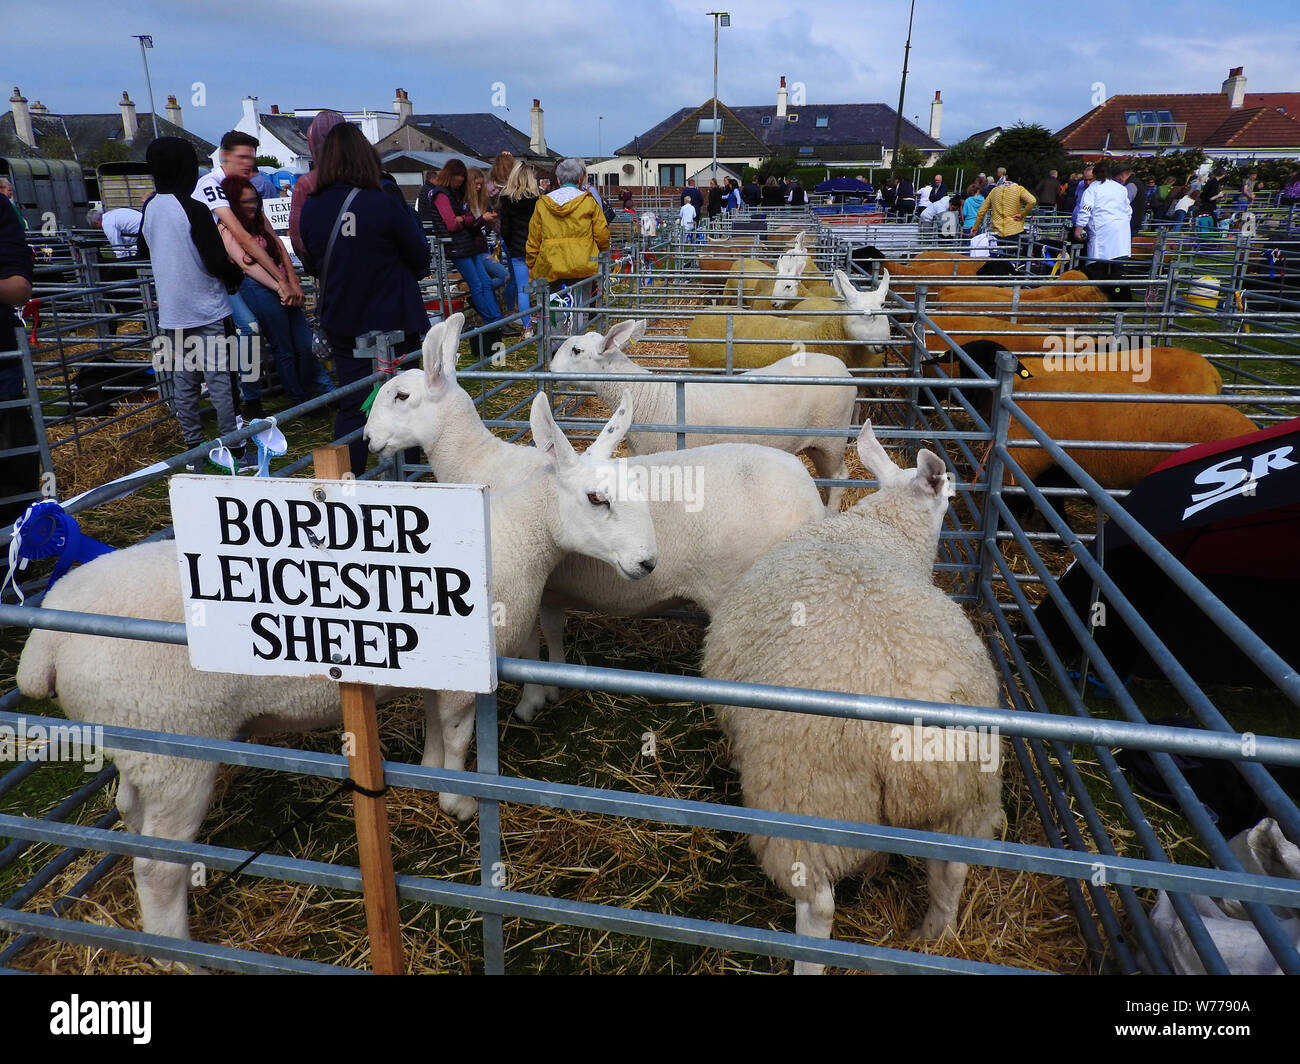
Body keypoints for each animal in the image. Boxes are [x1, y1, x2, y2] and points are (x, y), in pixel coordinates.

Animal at [13, 390, 655, 936]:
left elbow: (433, 730)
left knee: (129, 812)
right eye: (596, 499)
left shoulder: (433, 666)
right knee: (158, 868)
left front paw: (428, 775)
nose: (648, 563)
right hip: (177, 748)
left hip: (138, 739)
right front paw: (459, 803)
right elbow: (457, 735)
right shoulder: (464, 674)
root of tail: (46, 643)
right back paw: (177, 954)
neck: (521, 532)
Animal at [553, 314, 857, 515]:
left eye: (576, 350)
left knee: (840, 476)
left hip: (832, 437)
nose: (551, 370)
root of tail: (845, 369)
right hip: (818, 443)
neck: (647, 396)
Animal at [702, 421, 1003, 967]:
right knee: (950, 874)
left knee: (818, 906)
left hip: (811, 798)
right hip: (965, 800)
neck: (878, 531)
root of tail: (911, 751)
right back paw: (932, 937)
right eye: (950, 494)